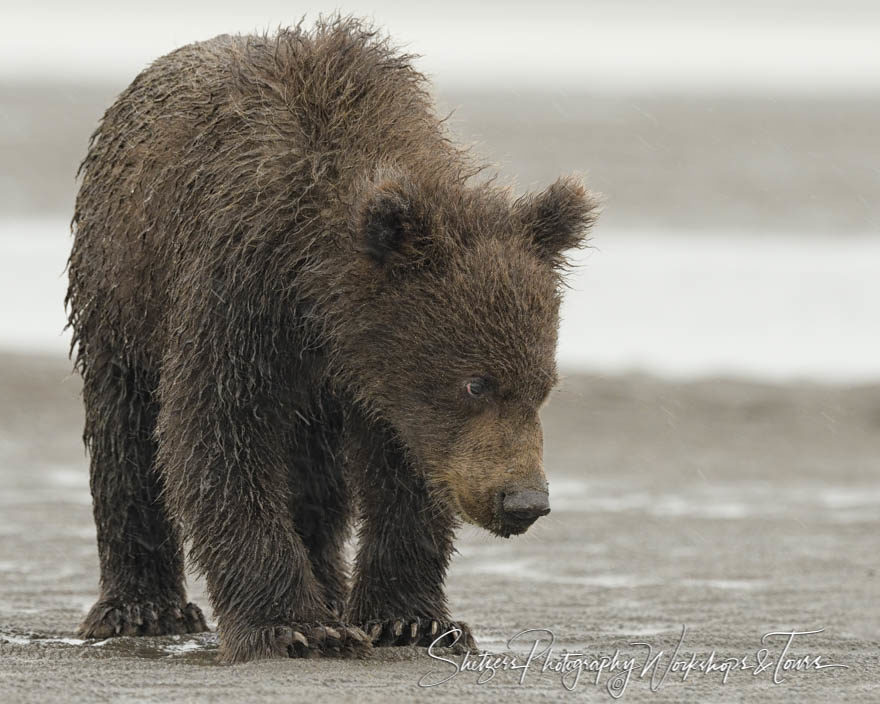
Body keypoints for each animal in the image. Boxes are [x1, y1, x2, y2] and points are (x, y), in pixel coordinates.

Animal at [67, 17, 600, 664]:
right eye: (476, 382)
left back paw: (327, 586)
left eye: (542, 384)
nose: (523, 501)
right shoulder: (238, 290)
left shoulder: (384, 387)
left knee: (316, 477)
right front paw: (295, 626)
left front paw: (410, 619)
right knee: (125, 429)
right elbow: (217, 433)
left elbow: (406, 472)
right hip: (123, 292)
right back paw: (144, 608)